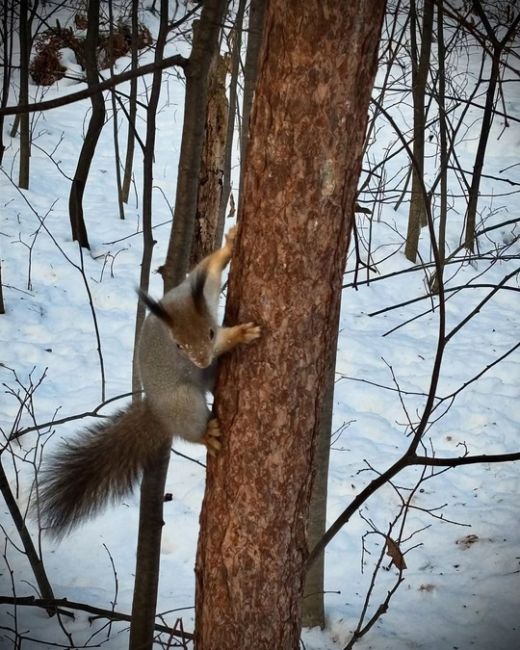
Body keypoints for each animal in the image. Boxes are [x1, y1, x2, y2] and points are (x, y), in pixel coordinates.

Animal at [36, 228, 260, 536]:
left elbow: (209, 267)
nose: (201, 361)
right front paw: (240, 334)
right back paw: (206, 434)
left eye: (210, 332)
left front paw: (230, 242)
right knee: (189, 429)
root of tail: (156, 411)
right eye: (178, 346)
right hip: (183, 403)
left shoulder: (198, 291)